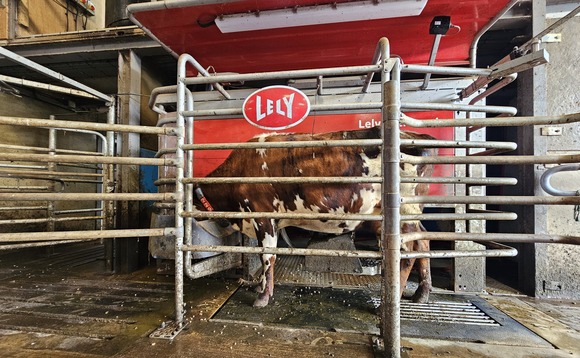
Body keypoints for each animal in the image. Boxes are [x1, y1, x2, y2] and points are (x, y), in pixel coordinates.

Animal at [195, 126, 436, 308]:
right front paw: (260, 286)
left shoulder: (263, 216)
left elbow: (268, 257)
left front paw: (262, 297)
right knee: (423, 241)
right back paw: (421, 293)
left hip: (404, 212)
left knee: (408, 254)